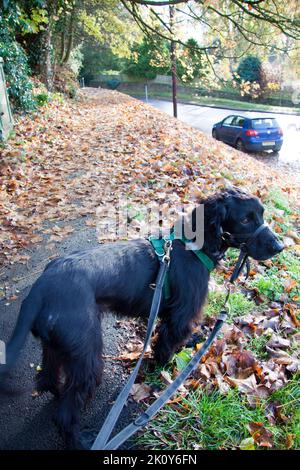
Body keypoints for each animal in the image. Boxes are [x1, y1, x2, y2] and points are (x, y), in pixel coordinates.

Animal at [0, 188, 284, 448]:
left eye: (261, 214)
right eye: (245, 219)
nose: (280, 246)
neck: (191, 248)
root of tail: (40, 288)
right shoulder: (180, 317)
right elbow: (166, 347)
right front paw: (165, 369)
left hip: (58, 347)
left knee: (48, 378)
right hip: (87, 357)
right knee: (65, 413)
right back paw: (80, 440)